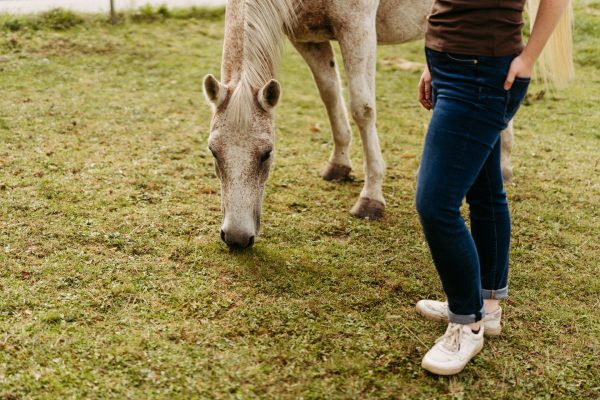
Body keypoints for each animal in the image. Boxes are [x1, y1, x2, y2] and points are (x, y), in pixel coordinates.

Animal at [204, 0, 576, 248]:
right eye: (213, 152)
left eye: (267, 154)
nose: (236, 237)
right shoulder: (307, 38)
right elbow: (330, 95)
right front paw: (339, 164)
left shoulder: (357, 27)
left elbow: (362, 107)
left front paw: (371, 197)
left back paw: (504, 163)